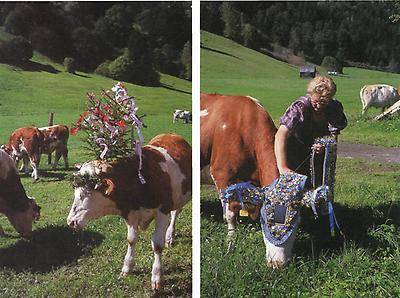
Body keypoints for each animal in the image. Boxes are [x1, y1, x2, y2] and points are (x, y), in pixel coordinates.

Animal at [67, 134, 192, 290]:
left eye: (88, 192)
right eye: (75, 189)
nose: (71, 221)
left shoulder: (163, 211)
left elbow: (157, 244)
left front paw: (157, 276)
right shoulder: (130, 213)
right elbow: (131, 239)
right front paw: (127, 267)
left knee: (175, 214)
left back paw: (169, 236)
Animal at [200, 92, 304, 268]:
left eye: (295, 225)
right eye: (266, 222)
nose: (278, 264)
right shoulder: (222, 175)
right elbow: (230, 214)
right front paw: (230, 242)